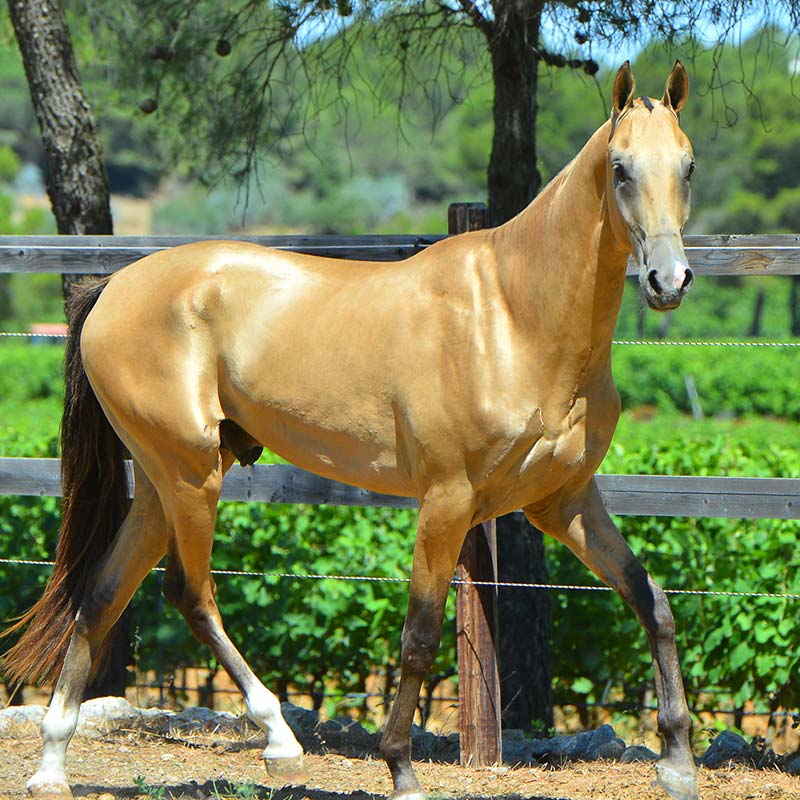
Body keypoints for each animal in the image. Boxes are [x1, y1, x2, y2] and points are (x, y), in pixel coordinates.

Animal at [2, 61, 698, 800]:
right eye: (620, 168)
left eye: (687, 165)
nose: (669, 280)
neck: (514, 316)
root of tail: (111, 289)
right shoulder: (447, 501)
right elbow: (419, 635)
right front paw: (401, 767)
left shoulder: (563, 501)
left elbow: (651, 600)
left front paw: (679, 764)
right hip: (191, 476)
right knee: (189, 593)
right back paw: (277, 739)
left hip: (165, 484)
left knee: (102, 594)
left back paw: (52, 763)